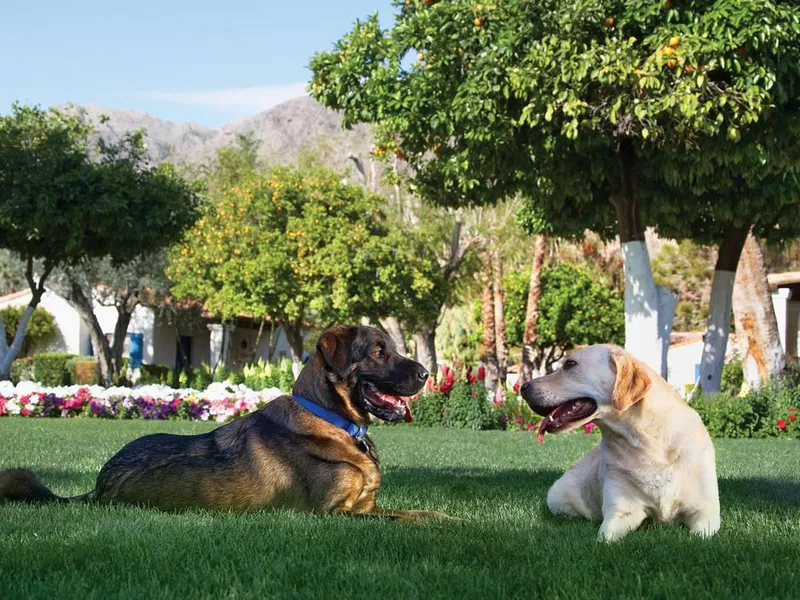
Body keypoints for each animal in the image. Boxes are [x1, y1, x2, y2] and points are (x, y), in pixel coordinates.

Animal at [0, 324, 450, 520]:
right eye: (378, 352)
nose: (428, 373)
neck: (334, 421)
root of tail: (98, 486)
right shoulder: (333, 513)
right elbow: (404, 519)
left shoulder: (365, 506)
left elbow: (425, 514)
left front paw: (451, 521)